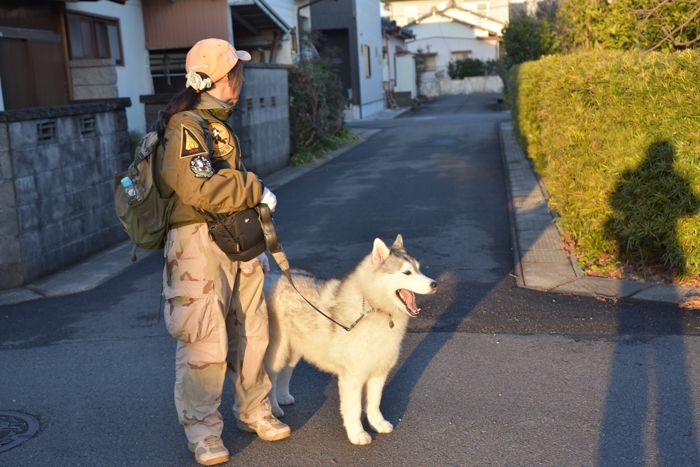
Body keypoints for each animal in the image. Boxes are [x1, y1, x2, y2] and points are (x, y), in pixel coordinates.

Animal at [264, 238, 438, 446]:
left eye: (419, 269)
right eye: (407, 273)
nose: (435, 284)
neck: (374, 307)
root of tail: (270, 275)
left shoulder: (379, 372)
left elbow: (374, 403)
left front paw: (377, 423)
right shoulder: (352, 377)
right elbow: (353, 409)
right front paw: (357, 433)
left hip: (295, 348)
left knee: (286, 370)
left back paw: (284, 397)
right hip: (277, 352)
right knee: (271, 377)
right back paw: (274, 409)